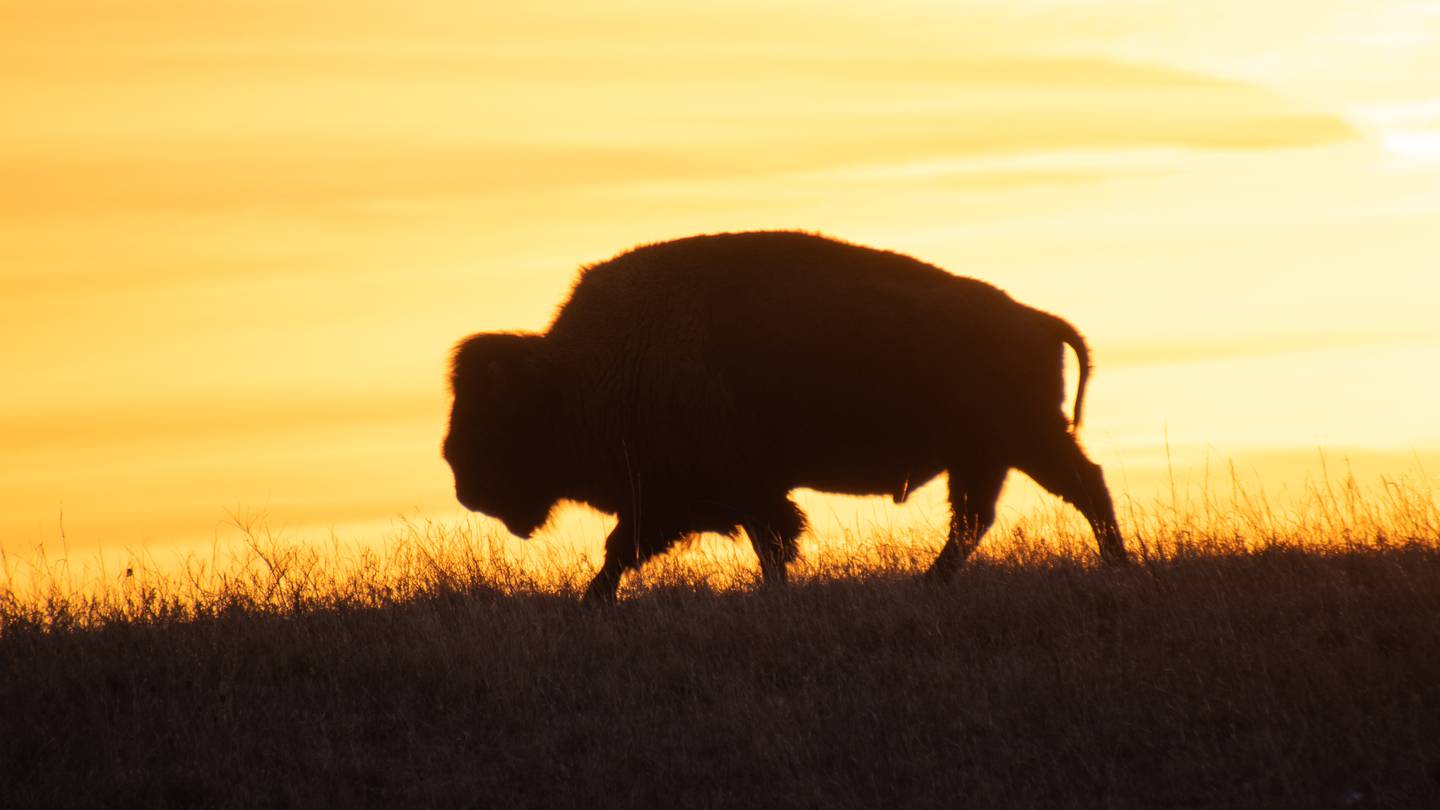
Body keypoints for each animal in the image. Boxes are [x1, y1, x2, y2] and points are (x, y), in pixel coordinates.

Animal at [443, 229, 1128, 599]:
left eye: (496, 417)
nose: (461, 479)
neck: (581, 370)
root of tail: (1035, 320)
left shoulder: (698, 495)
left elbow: (632, 548)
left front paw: (593, 601)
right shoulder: (738, 494)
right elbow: (762, 543)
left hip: (1022, 441)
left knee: (1078, 491)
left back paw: (1116, 566)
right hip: (989, 455)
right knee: (977, 520)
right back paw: (933, 583)